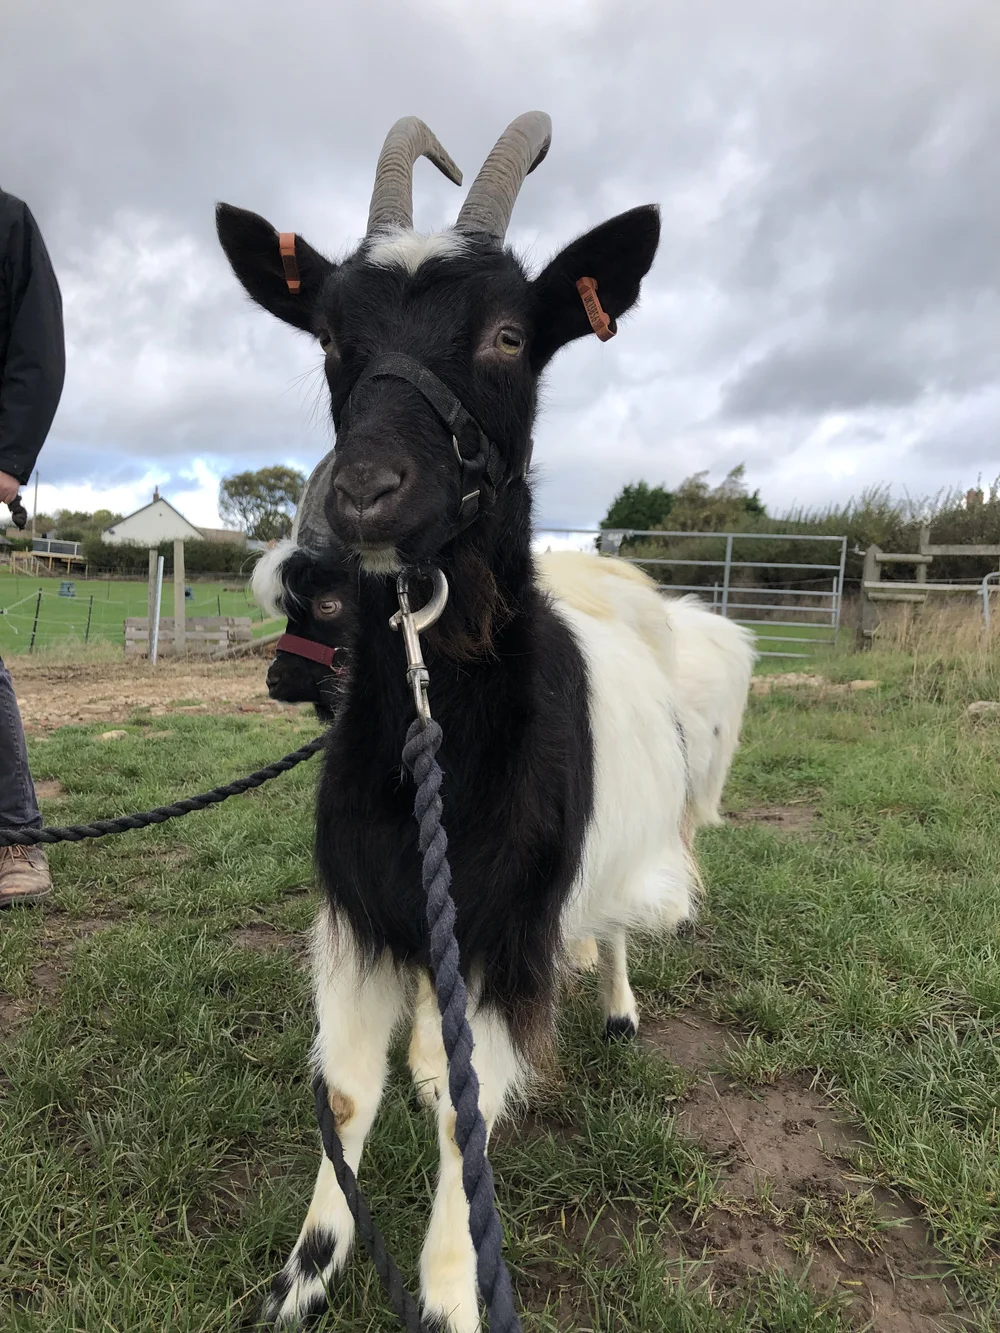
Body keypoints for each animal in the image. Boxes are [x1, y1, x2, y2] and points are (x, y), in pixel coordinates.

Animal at [219, 112, 697, 1333]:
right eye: (328, 338)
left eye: (508, 335)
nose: (364, 493)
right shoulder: (361, 913)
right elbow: (348, 1091)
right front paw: (306, 1272)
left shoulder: (492, 934)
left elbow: (459, 1110)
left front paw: (446, 1297)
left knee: (610, 923)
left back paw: (617, 1006)